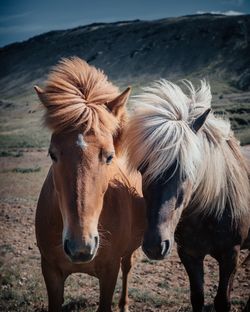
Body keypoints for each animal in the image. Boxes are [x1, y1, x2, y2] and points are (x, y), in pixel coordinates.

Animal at [34, 56, 146, 312]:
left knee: (128, 268)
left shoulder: (109, 272)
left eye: (109, 156)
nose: (80, 247)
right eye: (52, 154)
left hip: (128, 253)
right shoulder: (50, 271)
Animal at [126, 80, 249, 312]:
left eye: (186, 171)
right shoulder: (189, 254)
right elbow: (197, 297)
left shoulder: (231, 254)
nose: (155, 245)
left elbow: (222, 300)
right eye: (143, 169)